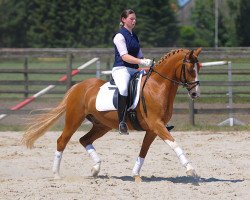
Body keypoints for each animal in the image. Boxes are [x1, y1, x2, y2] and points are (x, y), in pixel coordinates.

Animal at [21, 47, 201, 182]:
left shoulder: (152, 129)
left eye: (199, 68)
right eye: (190, 69)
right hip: (74, 119)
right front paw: (191, 169)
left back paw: (95, 169)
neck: (157, 86)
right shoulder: (156, 125)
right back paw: (57, 174)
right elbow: (174, 144)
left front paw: (136, 175)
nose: (195, 93)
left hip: (102, 125)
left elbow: (143, 151)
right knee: (62, 141)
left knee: (84, 140)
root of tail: (79, 86)